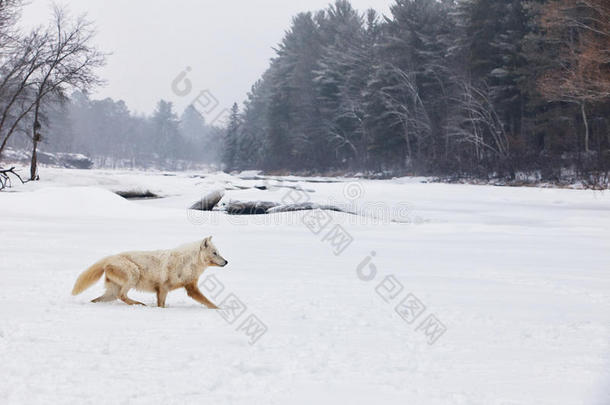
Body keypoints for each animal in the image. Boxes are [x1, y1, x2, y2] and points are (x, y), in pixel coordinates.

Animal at [71, 235, 227, 308]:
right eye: (215, 253)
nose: (226, 262)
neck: (188, 263)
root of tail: (109, 258)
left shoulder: (191, 288)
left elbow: (210, 303)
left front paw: (219, 309)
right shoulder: (163, 288)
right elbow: (161, 305)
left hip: (112, 293)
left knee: (98, 299)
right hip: (133, 274)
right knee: (122, 295)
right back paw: (140, 304)